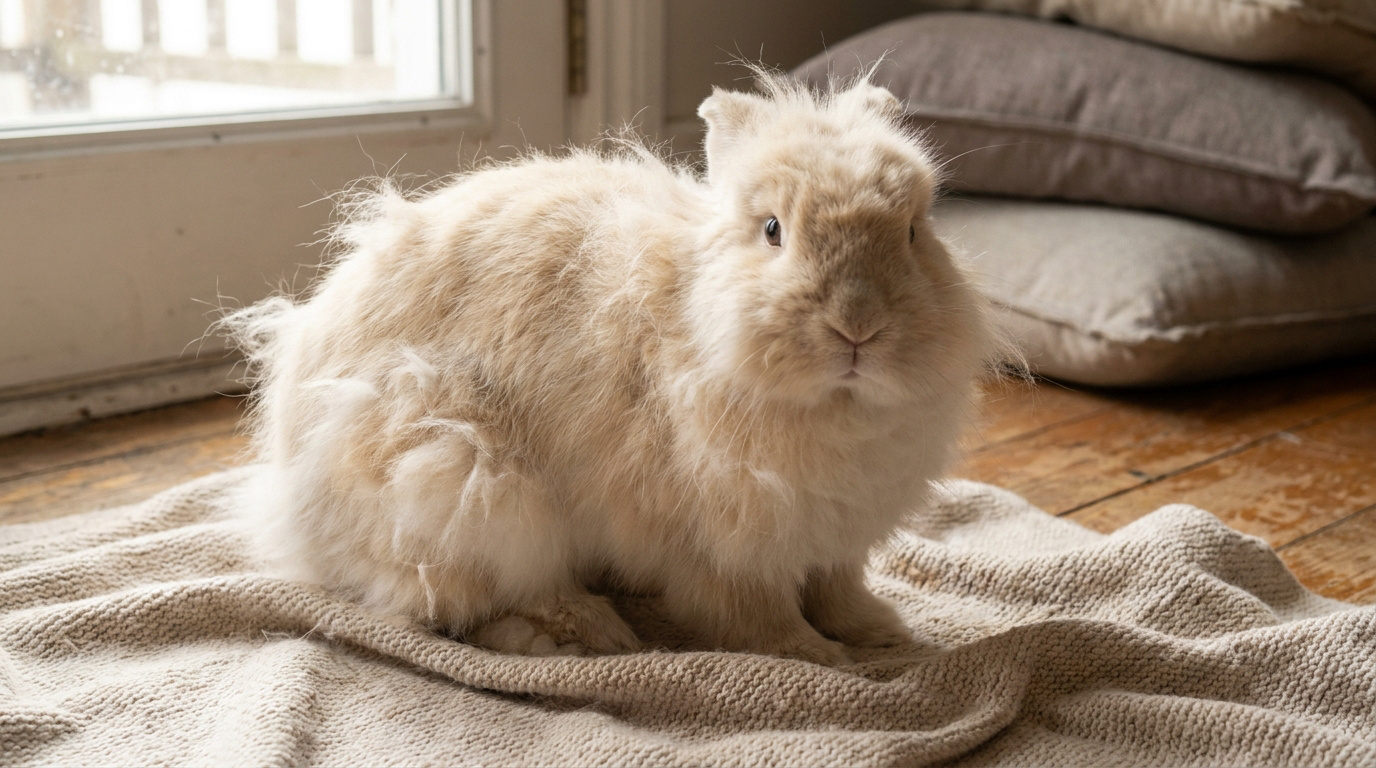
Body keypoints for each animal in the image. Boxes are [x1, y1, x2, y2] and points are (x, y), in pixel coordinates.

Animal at [224, 72, 993, 666]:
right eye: (773, 230)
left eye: (915, 231)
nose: (858, 326)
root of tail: (293, 513)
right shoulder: (729, 542)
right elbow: (756, 614)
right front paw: (820, 658)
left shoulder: (835, 537)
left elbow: (839, 591)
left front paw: (883, 633)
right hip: (466, 481)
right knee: (454, 605)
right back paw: (589, 635)